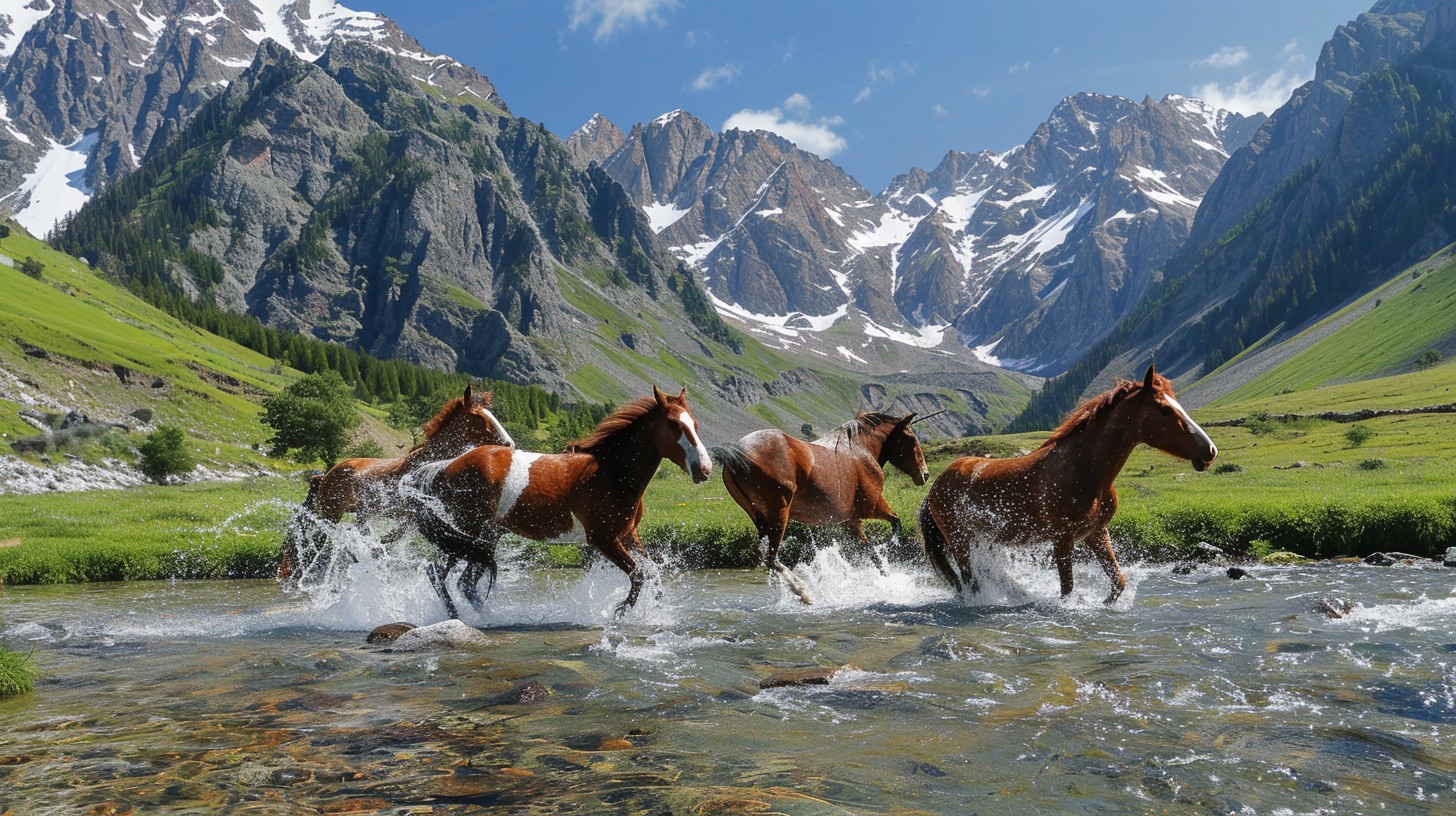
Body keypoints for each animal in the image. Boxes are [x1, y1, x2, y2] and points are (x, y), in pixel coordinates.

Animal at [277, 384, 515, 609]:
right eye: (478, 416)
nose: (509, 444)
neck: (427, 467)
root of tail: (327, 474)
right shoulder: (413, 515)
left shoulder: (412, 518)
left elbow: (388, 540)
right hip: (330, 513)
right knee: (320, 539)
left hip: (359, 514)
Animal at [401, 386, 713, 618]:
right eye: (674, 425)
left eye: (696, 424)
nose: (705, 469)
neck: (611, 473)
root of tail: (444, 467)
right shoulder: (603, 539)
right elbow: (638, 575)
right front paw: (620, 611)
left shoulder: (628, 535)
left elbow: (653, 573)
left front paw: (654, 611)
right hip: (467, 533)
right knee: (440, 573)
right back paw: (466, 617)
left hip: (479, 538)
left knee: (458, 580)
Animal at [714, 412, 929, 605]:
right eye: (912, 439)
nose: (924, 475)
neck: (860, 450)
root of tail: (738, 452)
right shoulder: (872, 506)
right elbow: (896, 523)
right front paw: (888, 546)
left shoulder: (851, 521)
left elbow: (871, 552)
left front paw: (887, 580)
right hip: (779, 514)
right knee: (771, 558)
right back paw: (803, 592)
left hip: (759, 517)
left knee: (764, 556)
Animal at [918, 364, 1216, 605]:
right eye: (1165, 409)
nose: (1210, 451)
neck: (1085, 471)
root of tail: (934, 487)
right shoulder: (1062, 540)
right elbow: (1067, 589)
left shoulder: (1097, 534)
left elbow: (1118, 582)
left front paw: (1105, 604)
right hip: (961, 543)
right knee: (972, 583)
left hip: (986, 542)